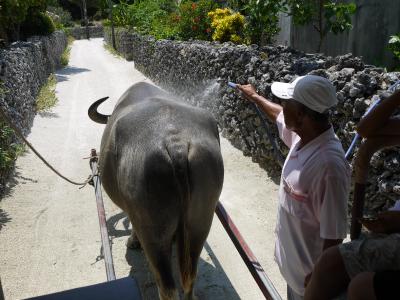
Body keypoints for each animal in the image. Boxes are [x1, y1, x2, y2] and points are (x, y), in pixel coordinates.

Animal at [88, 82, 225, 300]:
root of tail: (176, 143)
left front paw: (132, 242)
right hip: (201, 221)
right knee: (190, 276)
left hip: (153, 231)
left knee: (167, 286)